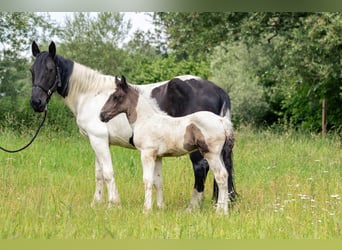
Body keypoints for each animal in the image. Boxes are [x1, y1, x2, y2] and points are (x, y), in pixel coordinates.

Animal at [100, 75, 234, 214]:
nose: (102, 115)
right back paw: (224, 211)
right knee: (226, 175)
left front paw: (146, 210)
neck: (146, 120)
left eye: (116, 96)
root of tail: (221, 120)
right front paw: (160, 208)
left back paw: (219, 212)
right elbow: (158, 181)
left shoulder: (147, 154)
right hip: (219, 155)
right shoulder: (158, 156)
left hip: (211, 155)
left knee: (220, 177)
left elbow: (147, 180)